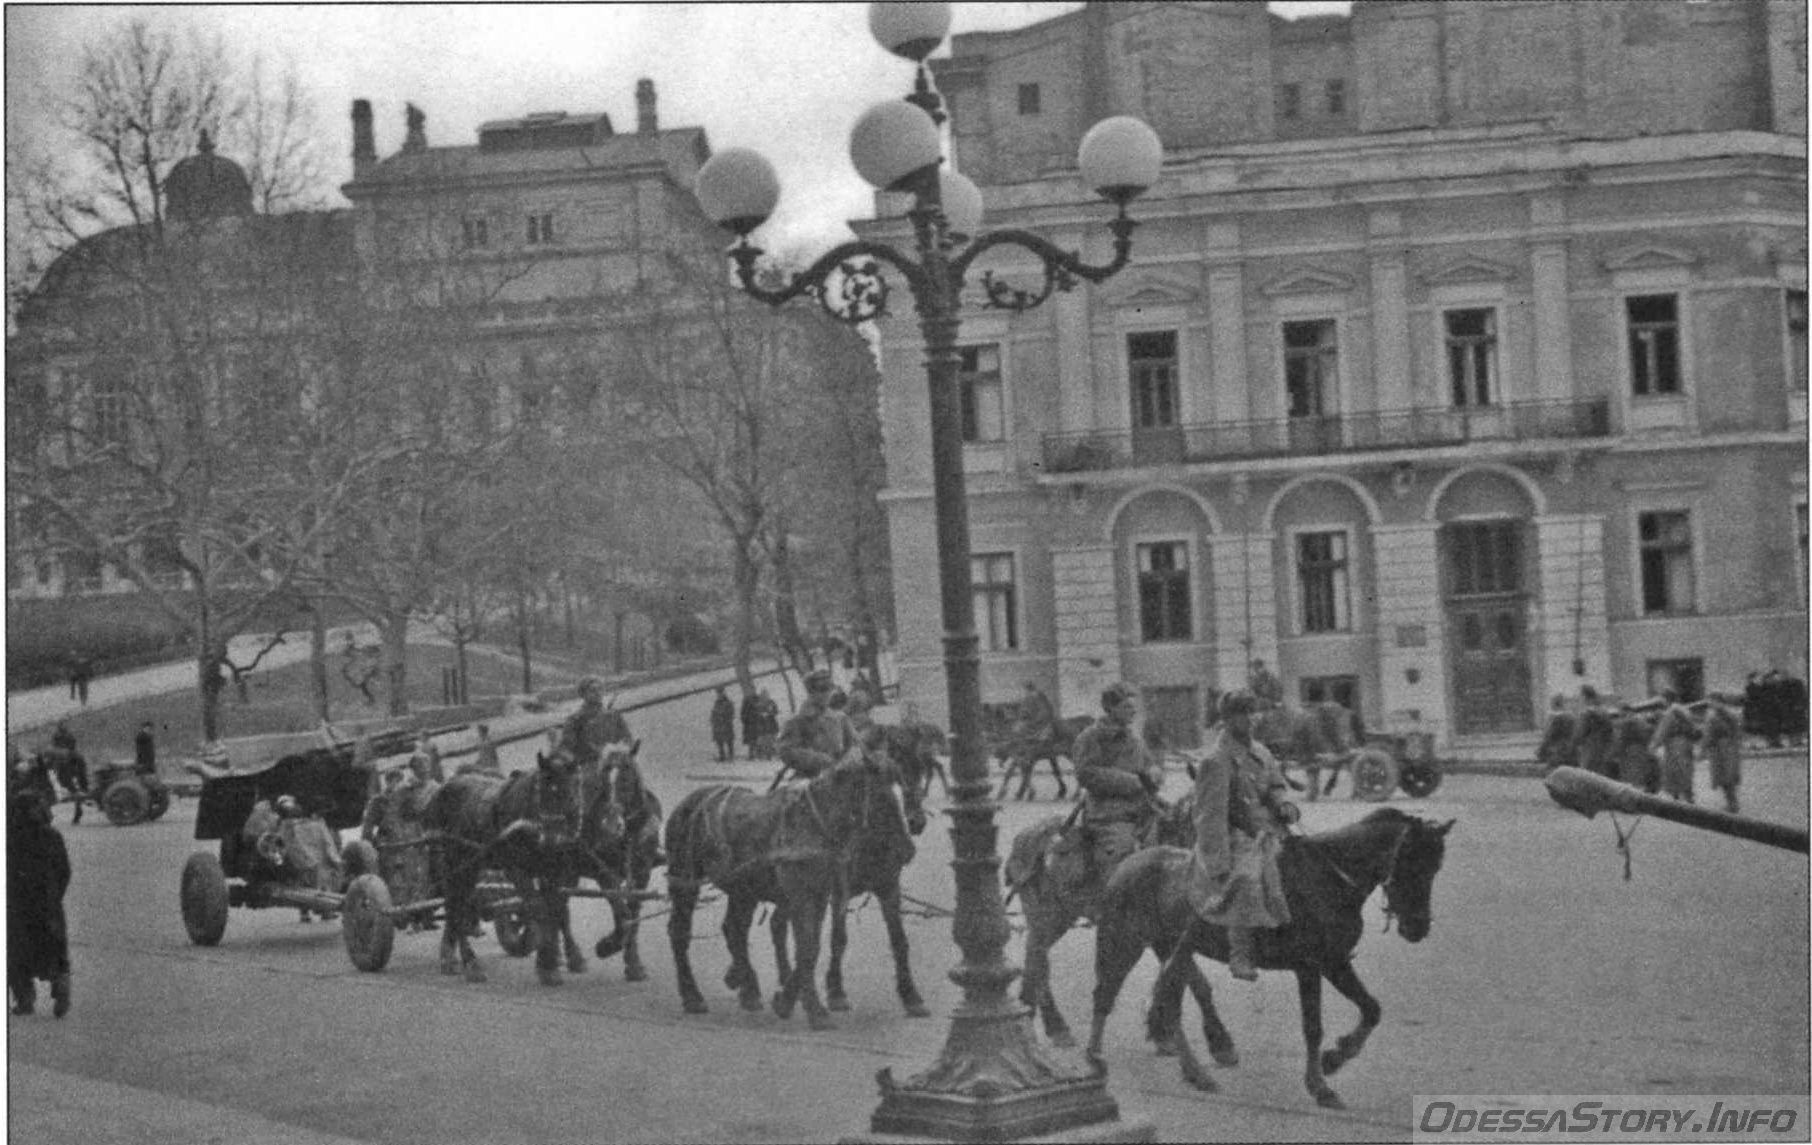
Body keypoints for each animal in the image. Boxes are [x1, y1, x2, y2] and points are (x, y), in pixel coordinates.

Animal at [422, 750, 587, 985]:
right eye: (542, 794)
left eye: (570, 795)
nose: (550, 841)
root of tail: (440, 791)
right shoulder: (517, 869)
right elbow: (539, 908)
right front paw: (547, 964)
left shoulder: (556, 870)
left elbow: (558, 910)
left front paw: (563, 958)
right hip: (457, 863)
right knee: (457, 905)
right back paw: (471, 964)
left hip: (469, 864)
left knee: (455, 904)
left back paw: (449, 957)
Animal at [768, 742, 934, 1021]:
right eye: (881, 798)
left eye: (919, 772)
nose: (907, 850)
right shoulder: (837, 892)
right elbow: (837, 938)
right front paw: (835, 991)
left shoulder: (889, 887)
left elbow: (899, 940)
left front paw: (911, 995)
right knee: (781, 925)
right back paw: (786, 977)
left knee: (781, 923)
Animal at [1007, 797, 1203, 1043]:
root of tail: (1024, 836)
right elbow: (1187, 977)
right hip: (1049, 917)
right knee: (1038, 959)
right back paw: (1049, 1022)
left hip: (1058, 919)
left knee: (1034, 956)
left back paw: (1040, 1016)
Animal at [1087, 804, 1456, 1108]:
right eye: (1410, 861)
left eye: (1436, 867)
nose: (1417, 927)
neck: (1328, 876)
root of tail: (1128, 863)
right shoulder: (1311, 967)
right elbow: (1313, 1026)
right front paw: (1320, 1085)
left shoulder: (1335, 962)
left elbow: (1371, 1009)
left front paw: (1335, 1058)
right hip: (1124, 942)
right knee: (1105, 993)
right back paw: (1094, 1059)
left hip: (1173, 951)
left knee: (1169, 1004)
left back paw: (1197, 1073)